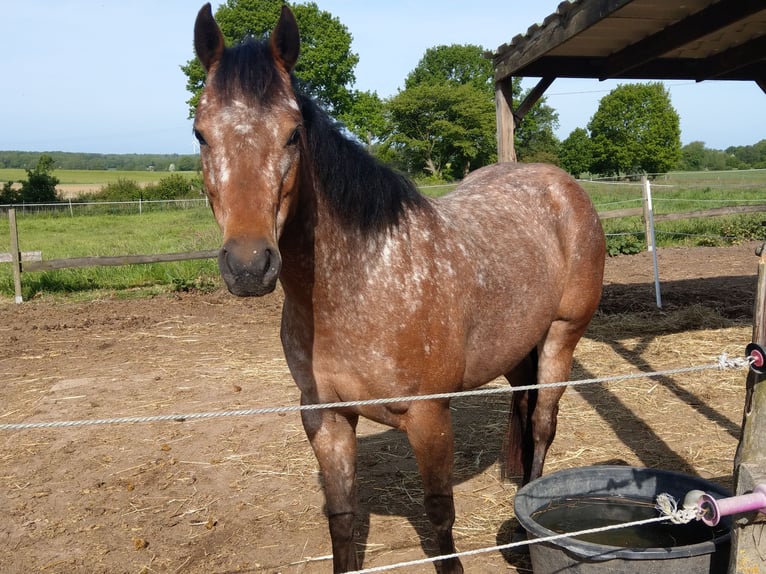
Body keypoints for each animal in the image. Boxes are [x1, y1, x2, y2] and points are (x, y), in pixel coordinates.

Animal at [190, 3, 608, 572]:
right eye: (200, 134)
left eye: (293, 134)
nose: (249, 265)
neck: (361, 285)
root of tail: (561, 185)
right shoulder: (325, 419)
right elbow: (342, 517)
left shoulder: (430, 417)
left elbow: (439, 515)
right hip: (520, 344)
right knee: (524, 414)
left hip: (562, 337)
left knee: (543, 424)